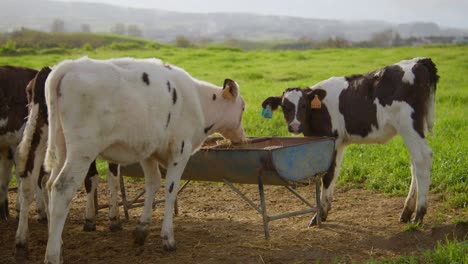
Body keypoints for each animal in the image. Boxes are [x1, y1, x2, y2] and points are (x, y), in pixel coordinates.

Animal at [15, 67, 123, 258]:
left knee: (31, 181)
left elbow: (92, 179)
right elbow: (108, 178)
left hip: (41, 136)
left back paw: (23, 240)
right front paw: (111, 218)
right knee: (50, 183)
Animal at [42, 56, 247, 262]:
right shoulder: (181, 149)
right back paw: (52, 255)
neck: (199, 101)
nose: (243, 138)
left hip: (61, 147)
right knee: (62, 188)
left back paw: (57, 242)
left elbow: (153, 183)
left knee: (49, 184)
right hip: (83, 150)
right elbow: (170, 190)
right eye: (243, 108)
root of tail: (69, 65)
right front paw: (167, 238)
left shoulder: (148, 151)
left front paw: (142, 229)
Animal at [262, 58, 436, 227]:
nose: (295, 126)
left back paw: (419, 215)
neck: (318, 111)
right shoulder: (338, 143)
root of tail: (419, 61)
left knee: (422, 159)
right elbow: (333, 173)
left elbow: (328, 175)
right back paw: (407, 212)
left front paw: (319, 215)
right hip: (416, 128)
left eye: (304, 105)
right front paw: (324, 211)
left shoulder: (331, 140)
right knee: (414, 164)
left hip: (409, 124)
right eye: (284, 107)